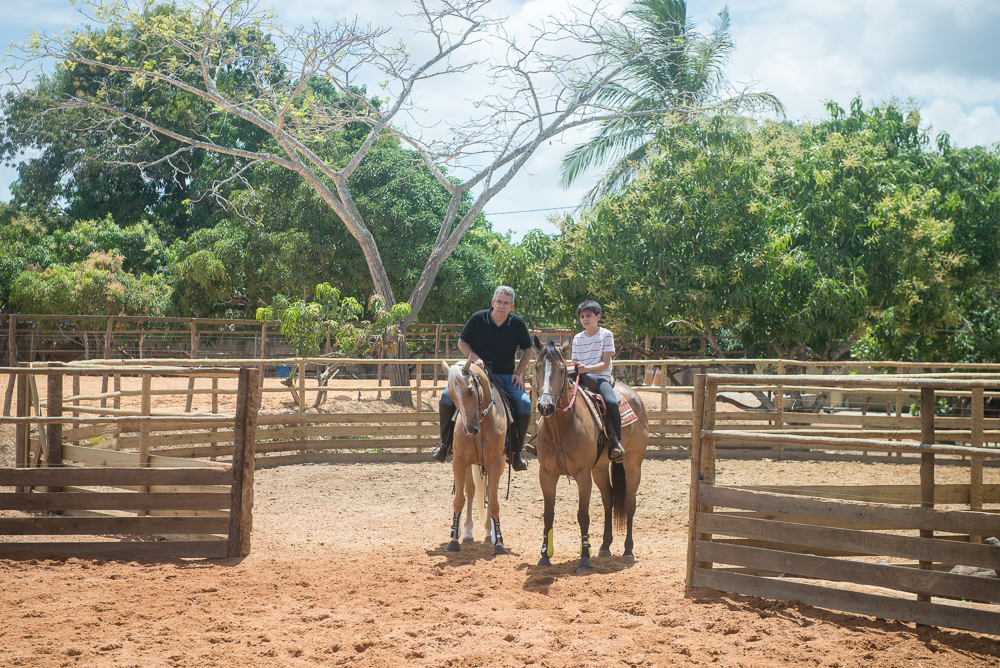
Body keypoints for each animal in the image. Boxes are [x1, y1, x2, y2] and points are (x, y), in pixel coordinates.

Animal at [442, 358, 512, 556]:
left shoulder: (495, 464)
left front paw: (499, 542)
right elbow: (459, 500)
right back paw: (465, 532)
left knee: (488, 492)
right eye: (451, 395)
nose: (470, 430)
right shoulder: (459, 462)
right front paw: (453, 539)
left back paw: (490, 533)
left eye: (471, 390)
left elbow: (494, 502)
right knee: (471, 491)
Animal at [532, 340, 648, 576]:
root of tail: (636, 397)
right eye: (537, 367)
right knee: (609, 499)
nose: (545, 406)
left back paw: (627, 551)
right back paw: (605, 546)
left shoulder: (583, 475)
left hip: (633, 464)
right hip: (600, 468)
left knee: (629, 502)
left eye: (561, 369)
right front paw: (544, 557)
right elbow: (548, 514)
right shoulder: (546, 474)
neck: (562, 427)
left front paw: (584, 559)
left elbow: (583, 515)